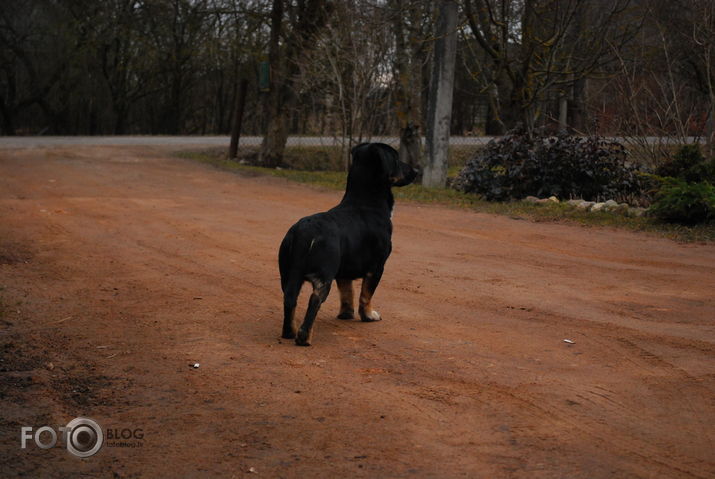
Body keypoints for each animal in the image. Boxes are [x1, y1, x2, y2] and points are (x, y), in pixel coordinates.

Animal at [276, 142, 416, 344]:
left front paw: (346, 314)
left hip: (288, 274)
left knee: (289, 298)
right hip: (323, 276)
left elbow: (347, 292)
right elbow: (366, 295)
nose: (416, 171)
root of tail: (304, 232)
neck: (365, 203)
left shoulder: (344, 270)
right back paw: (304, 337)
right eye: (396, 159)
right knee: (314, 301)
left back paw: (289, 332)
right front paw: (369, 316)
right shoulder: (377, 267)